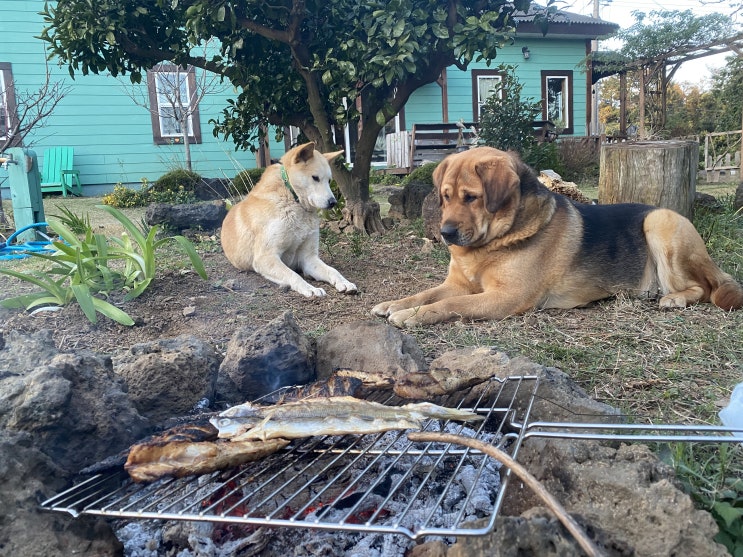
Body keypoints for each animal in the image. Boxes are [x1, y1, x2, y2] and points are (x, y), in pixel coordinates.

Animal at [221, 143, 358, 298]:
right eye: (315, 178)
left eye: (329, 180)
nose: (333, 202)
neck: (293, 198)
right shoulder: (266, 257)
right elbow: (293, 275)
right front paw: (310, 288)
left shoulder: (308, 258)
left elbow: (332, 270)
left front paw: (344, 282)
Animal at [372, 144, 743, 326]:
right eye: (445, 196)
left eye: (471, 197)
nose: (445, 233)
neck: (492, 242)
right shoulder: (458, 284)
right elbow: (425, 293)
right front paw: (394, 304)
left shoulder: (507, 297)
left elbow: (448, 304)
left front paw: (410, 316)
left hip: (660, 222)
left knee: (703, 287)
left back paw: (675, 298)